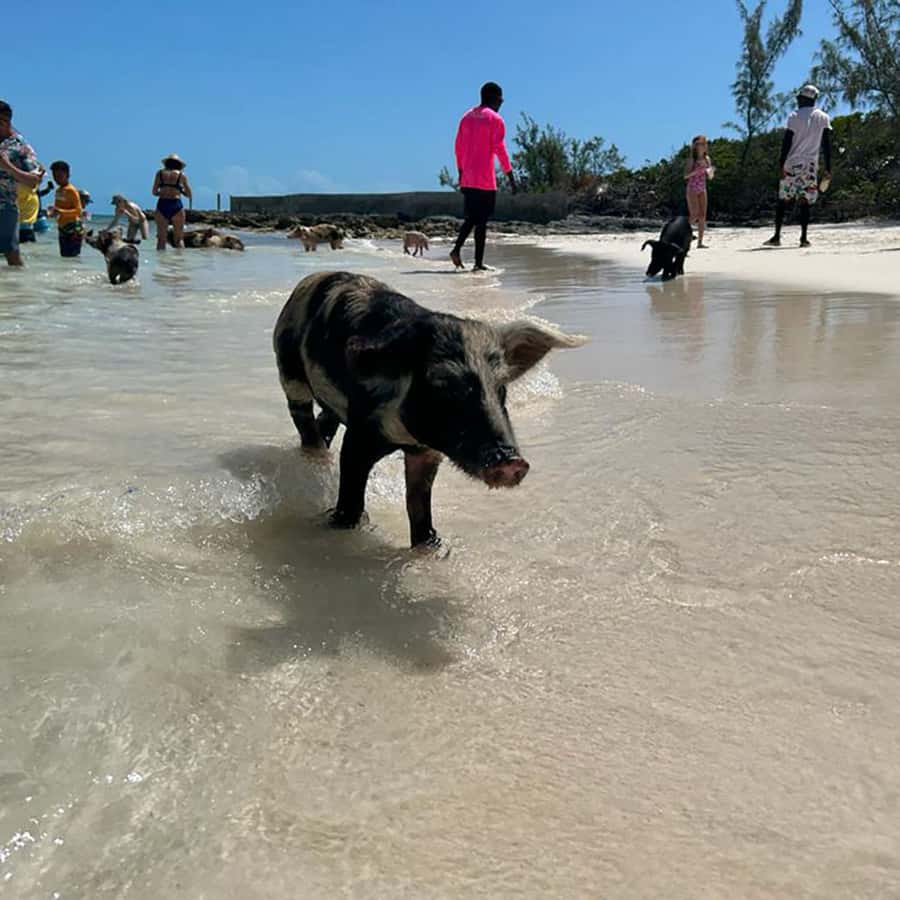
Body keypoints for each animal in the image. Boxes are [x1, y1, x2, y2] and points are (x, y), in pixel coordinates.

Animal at [273, 271, 587, 547]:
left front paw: (430, 545)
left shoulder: (426, 454)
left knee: (326, 418)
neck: (406, 437)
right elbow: (351, 490)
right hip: (289, 373)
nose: (512, 461)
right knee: (304, 419)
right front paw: (341, 523)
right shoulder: (360, 432)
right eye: (442, 385)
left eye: (501, 389)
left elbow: (419, 505)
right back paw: (314, 454)